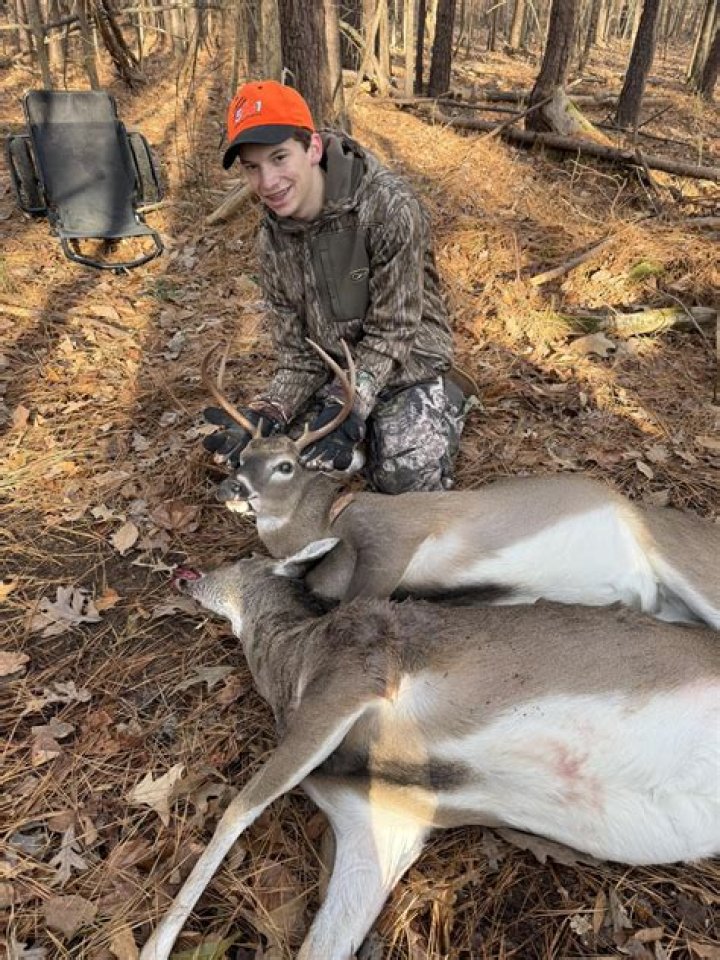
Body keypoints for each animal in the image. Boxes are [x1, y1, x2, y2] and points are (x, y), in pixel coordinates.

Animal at [139, 540, 720, 960]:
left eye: (241, 558)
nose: (184, 571)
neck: (290, 661)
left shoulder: (352, 680)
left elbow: (237, 808)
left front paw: (154, 946)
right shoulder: (385, 817)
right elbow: (321, 944)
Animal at [202, 342, 720, 629]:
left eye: (286, 465)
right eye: (243, 458)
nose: (232, 490)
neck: (328, 520)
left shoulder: (395, 534)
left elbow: (352, 604)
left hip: (685, 562)